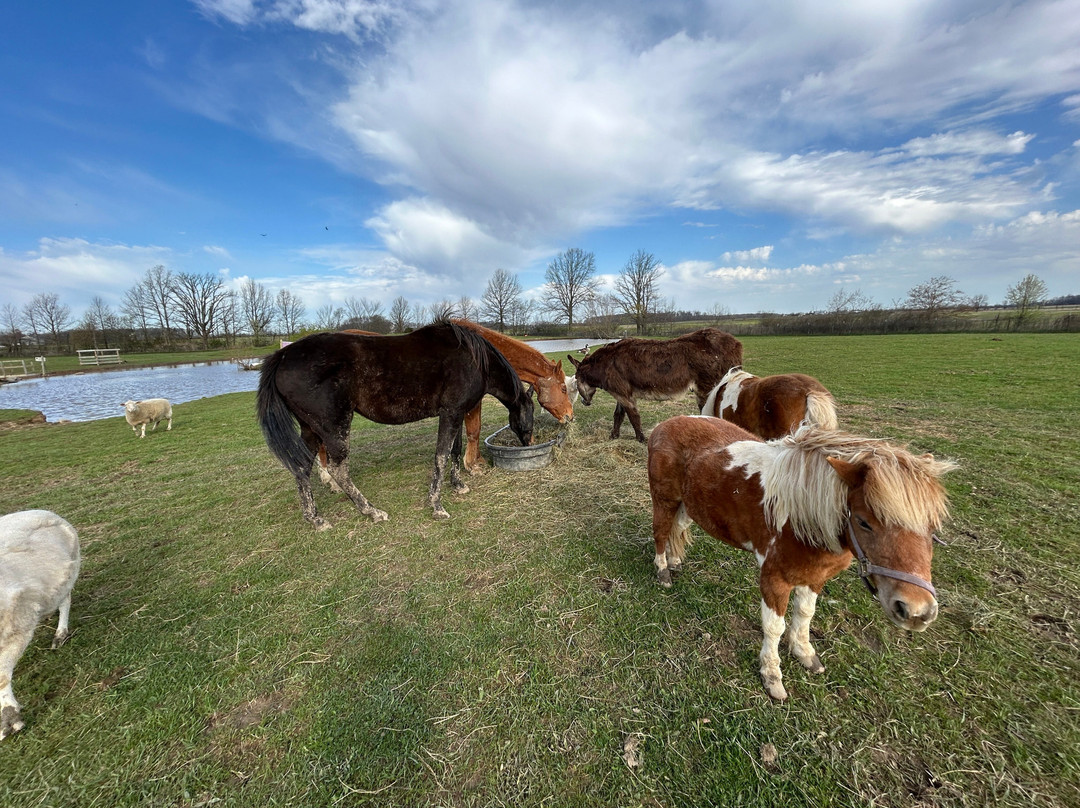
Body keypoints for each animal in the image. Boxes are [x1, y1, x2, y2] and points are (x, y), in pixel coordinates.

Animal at [256, 321, 534, 528]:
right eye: (530, 415)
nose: (528, 442)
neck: (475, 359)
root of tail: (283, 355)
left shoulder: (455, 413)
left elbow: (454, 452)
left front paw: (458, 486)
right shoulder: (451, 413)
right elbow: (441, 456)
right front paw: (437, 505)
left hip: (311, 428)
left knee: (301, 467)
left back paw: (315, 519)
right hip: (334, 426)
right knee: (338, 469)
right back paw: (372, 511)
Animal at [567, 328, 743, 442]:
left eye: (576, 380)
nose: (584, 402)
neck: (605, 364)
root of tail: (735, 344)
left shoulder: (623, 394)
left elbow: (634, 417)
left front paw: (641, 439)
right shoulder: (622, 393)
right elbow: (618, 415)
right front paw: (613, 436)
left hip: (708, 389)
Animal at [647, 416, 956, 701]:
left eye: (933, 527)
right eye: (863, 522)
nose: (916, 611)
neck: (801, 517)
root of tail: (665, 424)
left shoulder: (816, 577)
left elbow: (805, 614)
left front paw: (804, 653)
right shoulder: (774, 580)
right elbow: (774, 627)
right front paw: (772, 676)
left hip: (688, 504)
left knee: (679, 527)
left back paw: (675, 561)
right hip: (664, 501)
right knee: (661, 533)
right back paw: (663, 571)